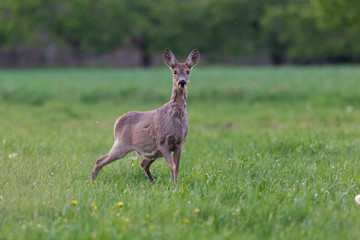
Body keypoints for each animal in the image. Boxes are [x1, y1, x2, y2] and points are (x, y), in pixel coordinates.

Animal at [91, 48, 200, 184]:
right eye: (174, 71)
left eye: (188, 71)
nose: (182, 82)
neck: (176, 115)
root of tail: (117, 123)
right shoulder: (161, 140)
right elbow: (172, 165)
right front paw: (174, 186)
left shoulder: (180, 143)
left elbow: (177, 167)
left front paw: (176, 185)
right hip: (122, 144)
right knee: (99, 161)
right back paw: (93, 182)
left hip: (152, 152)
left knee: (143, 164)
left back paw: (154, 184)